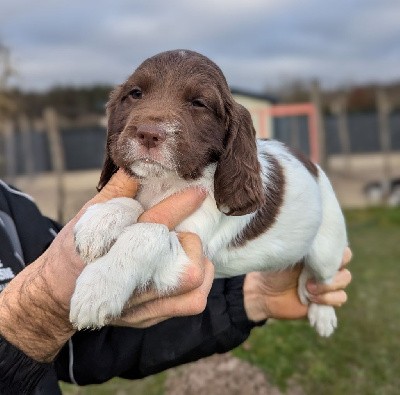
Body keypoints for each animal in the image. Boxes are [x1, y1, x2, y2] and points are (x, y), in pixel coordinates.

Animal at [71, 48, 346, 336]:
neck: (165, 183)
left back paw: (323, 314)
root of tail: (313, 165)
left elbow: (150, 232)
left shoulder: (193, 257)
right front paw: (101, 220)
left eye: (199, 103)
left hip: (327, 248)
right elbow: (134, 206)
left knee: (324, 280)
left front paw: (99, 287)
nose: (147, 134)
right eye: (135, 94)